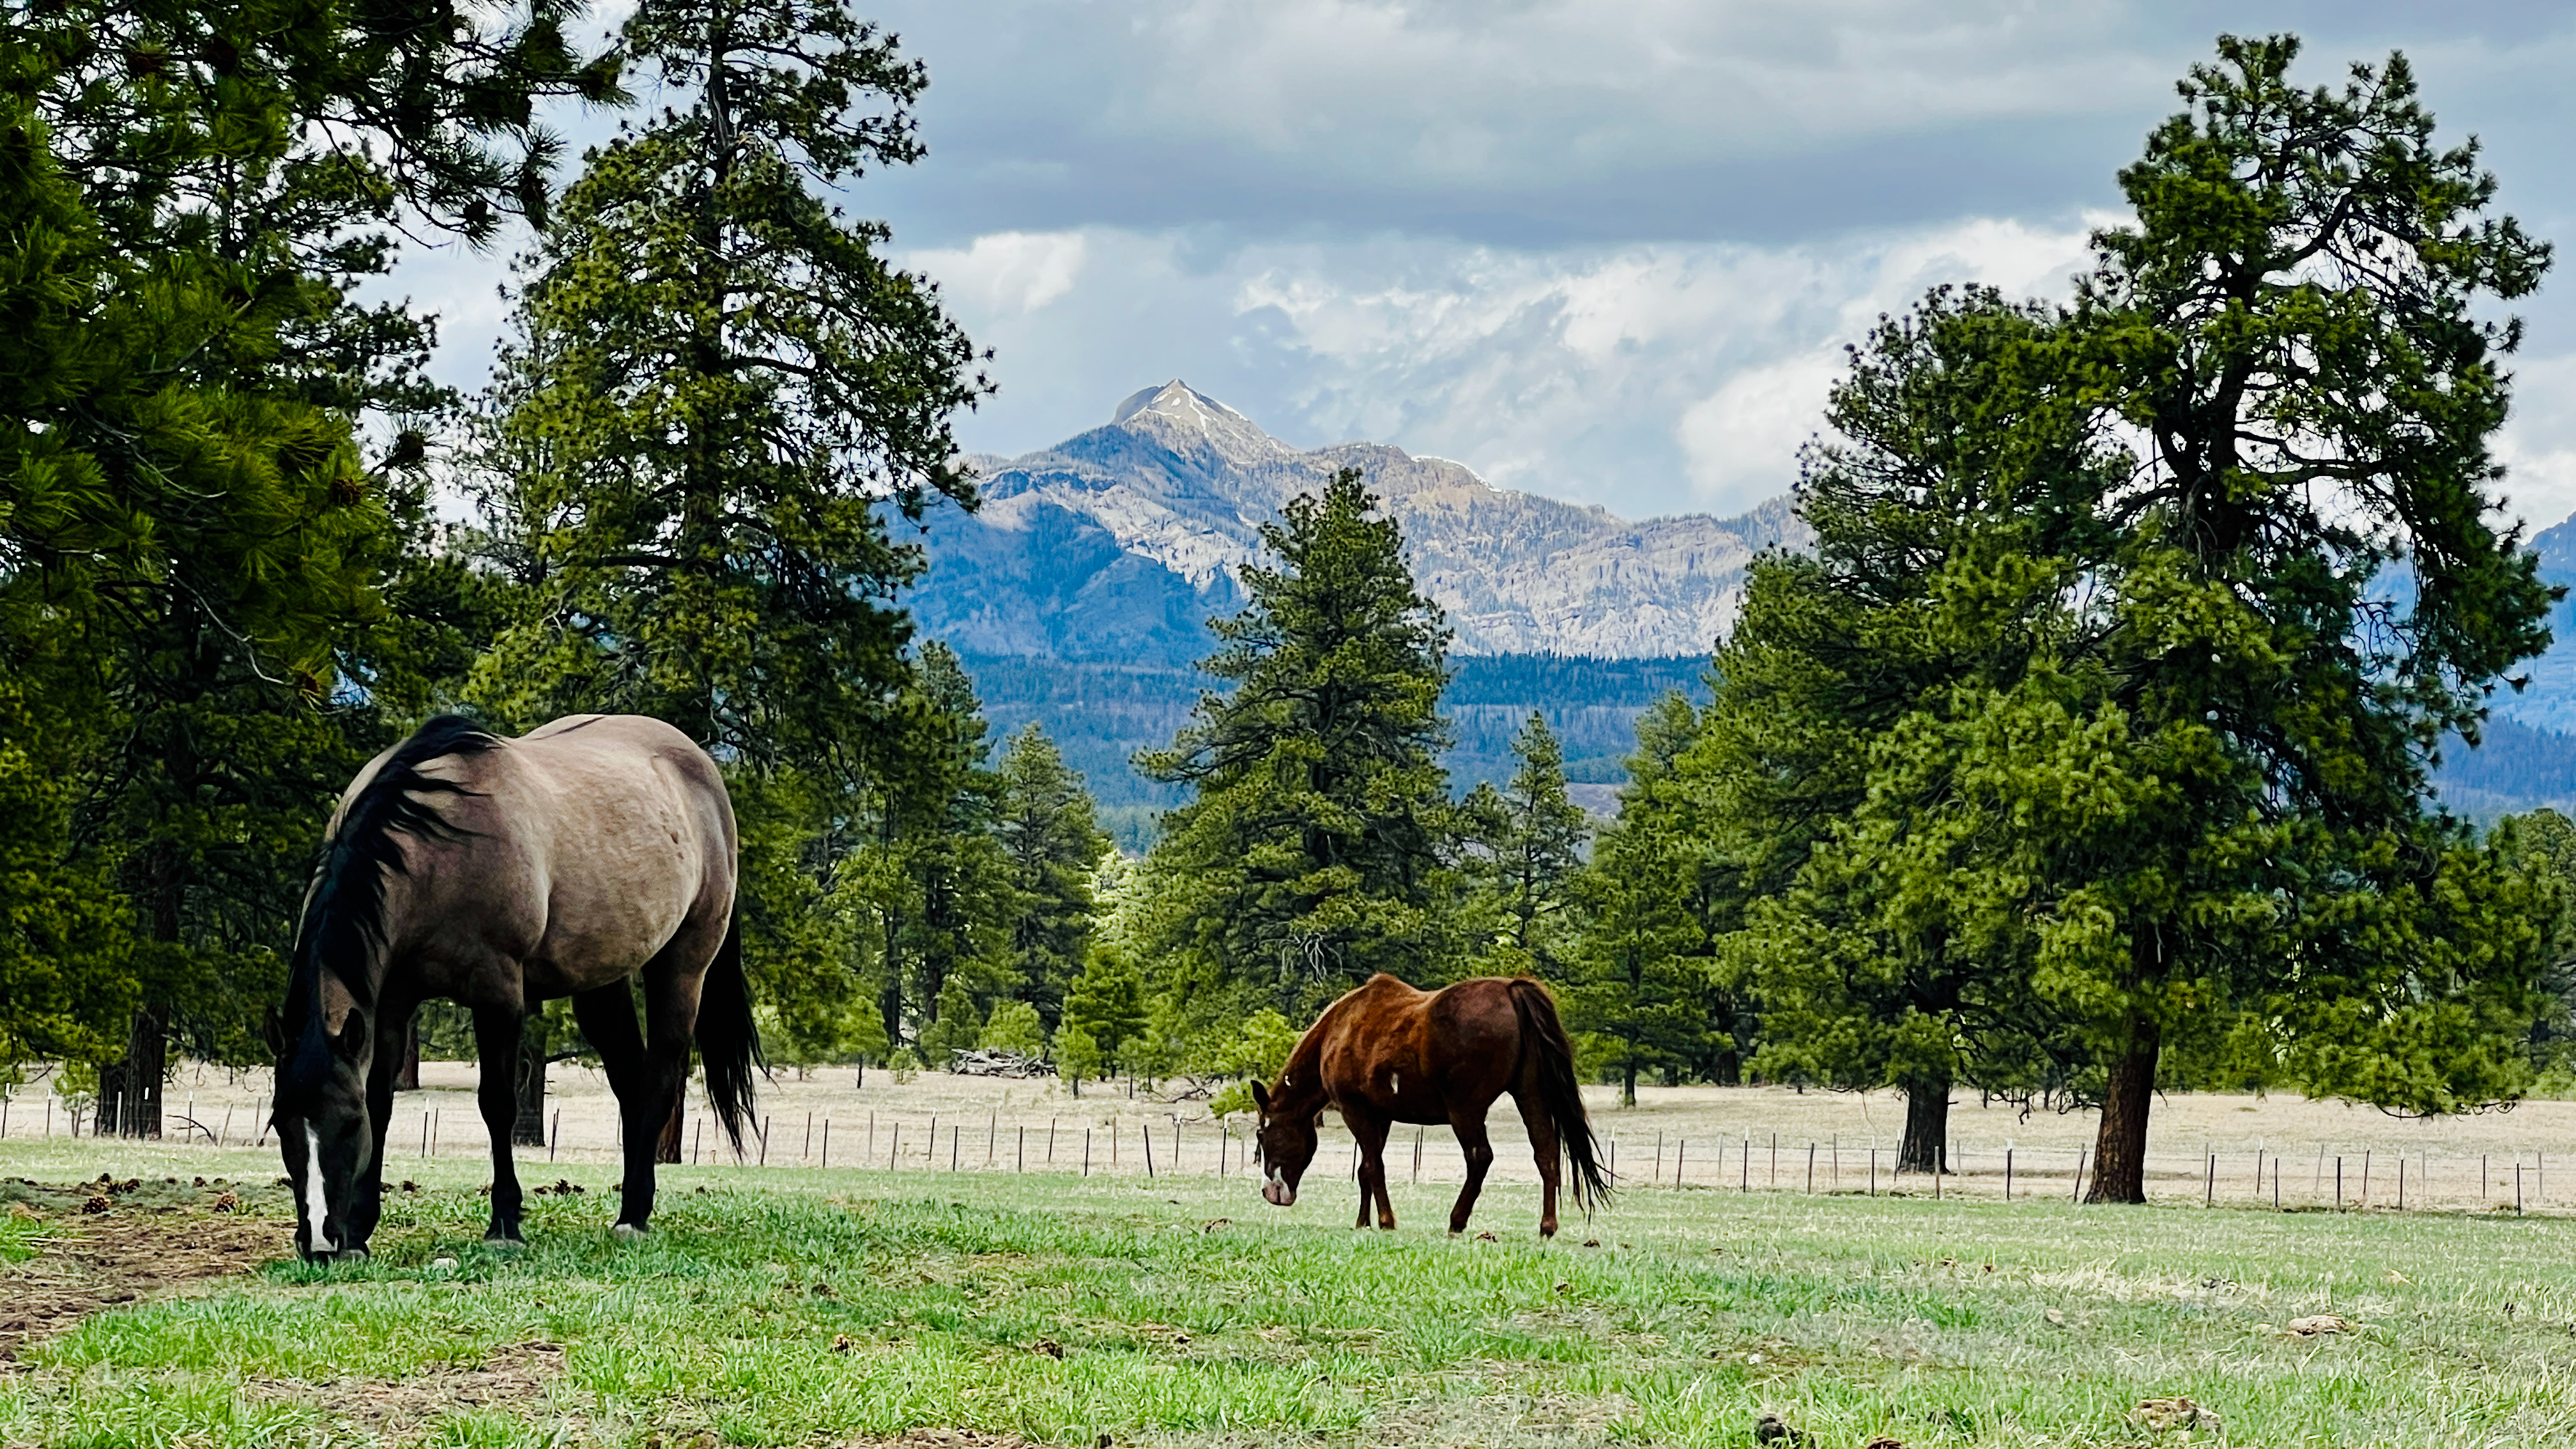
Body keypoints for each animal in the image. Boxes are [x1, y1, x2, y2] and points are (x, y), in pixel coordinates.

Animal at [267, 713, 760, 1259]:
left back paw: (634, 1215)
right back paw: (633, 1204)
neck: (435, 845)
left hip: (683, 967)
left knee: (660, 1079)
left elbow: (497, 1104)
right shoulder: (391, 1003)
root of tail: (702, 769)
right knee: (630, 1082)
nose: (319, 1239)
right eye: (281, 1124)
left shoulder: (497, 994)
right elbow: (383, 1100)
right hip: (600, 983)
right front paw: (359, 1226)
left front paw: (505, 1222)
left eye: (349, 1124)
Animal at [1250, 973, 1609, 1237]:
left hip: (1466, 1109)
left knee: (1480, 1157)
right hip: (1530, 1096)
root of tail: (1511, 989)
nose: (1271, 1192)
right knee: (1546, 1153)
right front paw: (1363, 1222)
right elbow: (1366, 1168)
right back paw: (1547, 1227)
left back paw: (1457, 1221)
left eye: (1261, 1134)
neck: (1340, 1029)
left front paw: (1385, 1221)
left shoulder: (1356, 1111)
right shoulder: (1380, 1116)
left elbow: (1373, 1166)